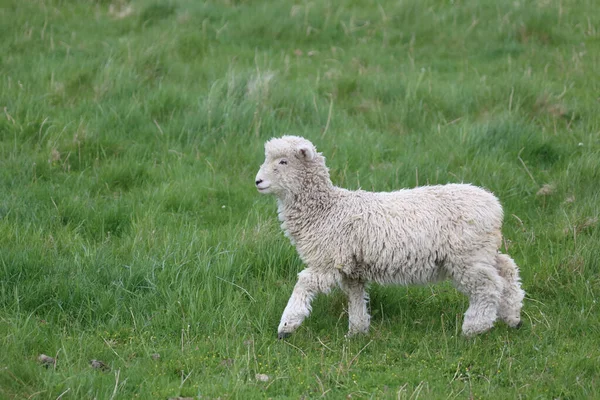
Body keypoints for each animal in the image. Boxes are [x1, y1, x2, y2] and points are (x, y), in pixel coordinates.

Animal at [254, 136, 524, 340]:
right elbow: (355, 296)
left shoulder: (328, 261)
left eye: (283, 161)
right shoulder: (352, 268)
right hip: (482, 250)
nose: (258, 181)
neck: (326, 209)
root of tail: (494, 205)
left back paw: (475, 327)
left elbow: (304, 283)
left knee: (488, 286)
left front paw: (287, 325)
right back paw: (513, 316)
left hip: (467, 254)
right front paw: (357, 331)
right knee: (506, 268)